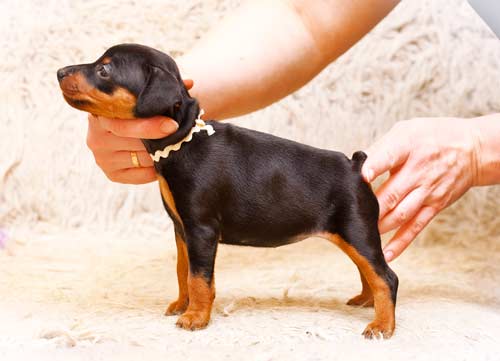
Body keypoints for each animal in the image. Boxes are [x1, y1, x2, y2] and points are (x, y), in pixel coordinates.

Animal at [57, 43, 398, 338]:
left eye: (104, 70)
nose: (60, 71)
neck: (183, 141)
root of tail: (355, 166)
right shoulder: (182, 230)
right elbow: (183, 270)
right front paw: (182, 305)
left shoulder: (201, 229)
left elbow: (199, 278)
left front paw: (195, 318)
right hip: (351, 234)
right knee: (369, 270)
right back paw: (366, 302)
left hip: (355, 229)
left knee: (386, 276)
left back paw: (382, 325)